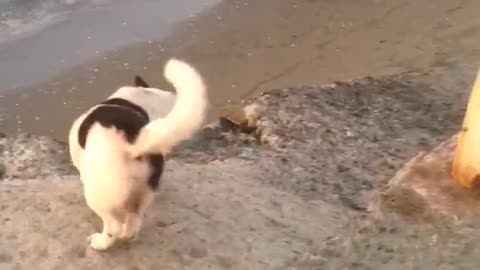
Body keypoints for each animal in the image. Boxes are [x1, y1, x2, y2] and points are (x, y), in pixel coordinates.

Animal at [68, 59, 208, 251]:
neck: (139, 98)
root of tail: (135, 138)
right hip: (144, 189)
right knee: (133, 222)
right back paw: (128, 235)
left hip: (99, 193)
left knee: (113, 226)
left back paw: (100, 242)